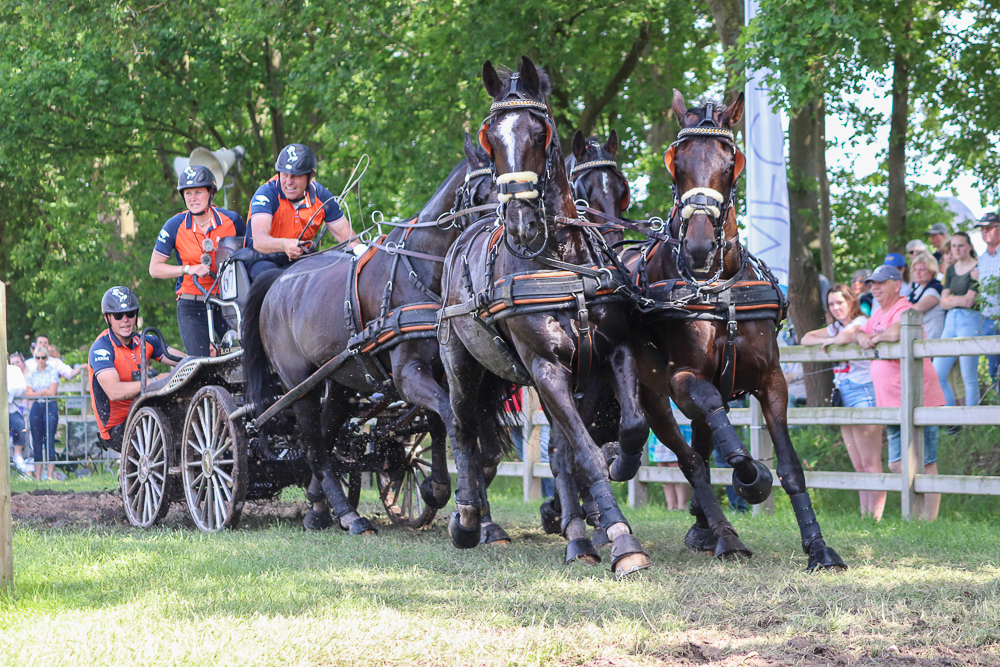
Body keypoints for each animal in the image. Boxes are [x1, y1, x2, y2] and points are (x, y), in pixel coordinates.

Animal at [240, 138, 494, 536]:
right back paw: (348, 514)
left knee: (326, 438)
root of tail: (278, 281)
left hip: (339, 383)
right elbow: (451, 417)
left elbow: (440, 421)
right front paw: (454, 499)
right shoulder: (407, 375)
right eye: (481, 192)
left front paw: (441, 490)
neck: (418, 271)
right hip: (299, 386)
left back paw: (318, 506)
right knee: (314, 448)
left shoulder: (439, 372)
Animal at [442, 58, 652, 580]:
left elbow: (630, 428)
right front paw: (622, 539)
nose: (520, 222)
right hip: (459, 363)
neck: (563, 262)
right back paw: (469, 517)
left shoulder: (609, 355)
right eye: (491, 138)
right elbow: (583, 451)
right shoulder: (545, 368)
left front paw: (615, 472)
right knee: (462, 428)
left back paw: (575, 534)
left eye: (541, 132)